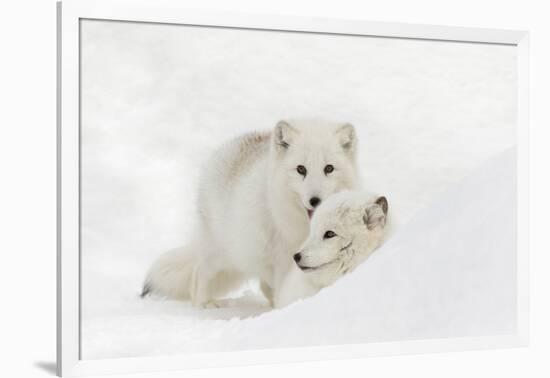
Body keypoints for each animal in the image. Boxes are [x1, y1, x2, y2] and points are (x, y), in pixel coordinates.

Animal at [141, 119, 362, 306]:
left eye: (329, 168)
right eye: (301, 169)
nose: (315, 201)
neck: (304, 227)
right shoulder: (285, 257)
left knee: (264, 286)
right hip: (219, 255)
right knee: (198, 275)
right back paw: (205, 305)